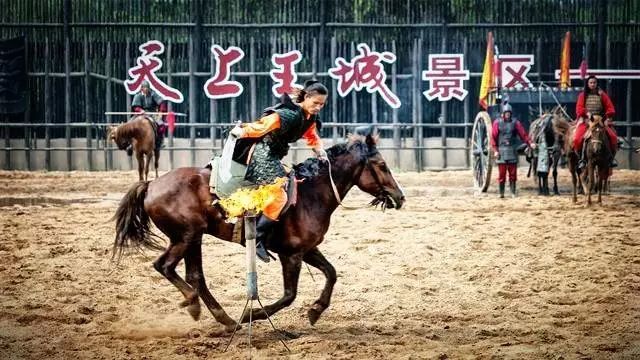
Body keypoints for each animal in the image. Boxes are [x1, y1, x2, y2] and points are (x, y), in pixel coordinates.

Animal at [109, 134, 400, 330]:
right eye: (382, 165)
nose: (400, 197)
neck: (311, 194)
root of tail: (151, 184)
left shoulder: (307, 250)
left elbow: (331, 273)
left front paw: (316, 310)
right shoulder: (292, 255)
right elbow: (289, 295)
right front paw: (253, 315)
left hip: (195, 238)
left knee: (195, 276)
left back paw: (225, 319)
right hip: (185, 237)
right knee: (165, 266)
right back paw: (195, 304)